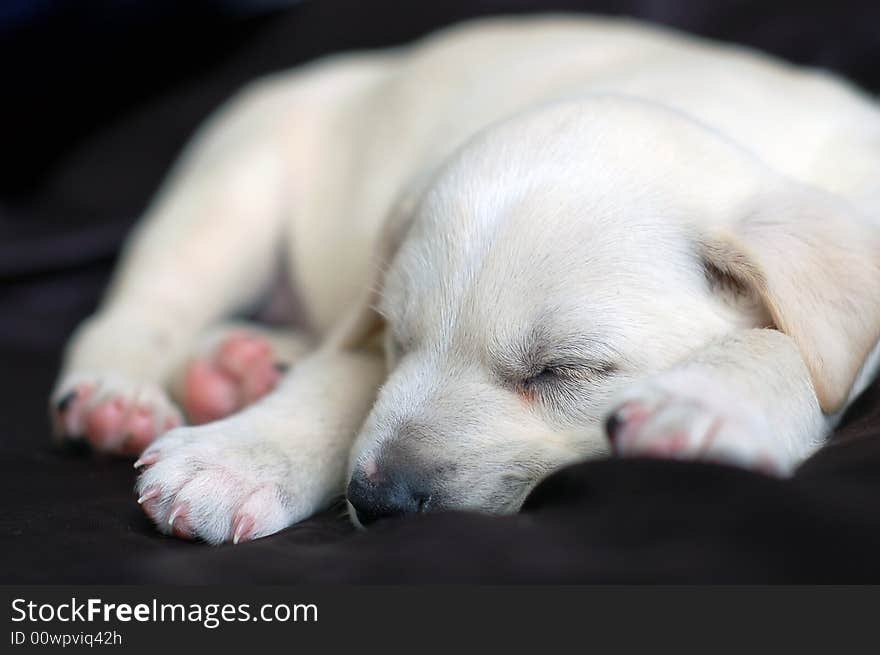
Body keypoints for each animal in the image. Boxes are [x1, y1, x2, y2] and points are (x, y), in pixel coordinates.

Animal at [49, 14, 880, 544]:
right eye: (399, 339)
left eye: (562, 370)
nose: (376, 498)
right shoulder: (362, 330)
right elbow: (338, 382)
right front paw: (236, 460)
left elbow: (793, 348)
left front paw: (706, 402)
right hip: (232, 190)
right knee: (142, 309)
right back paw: (122, 398)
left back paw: (239, 367)